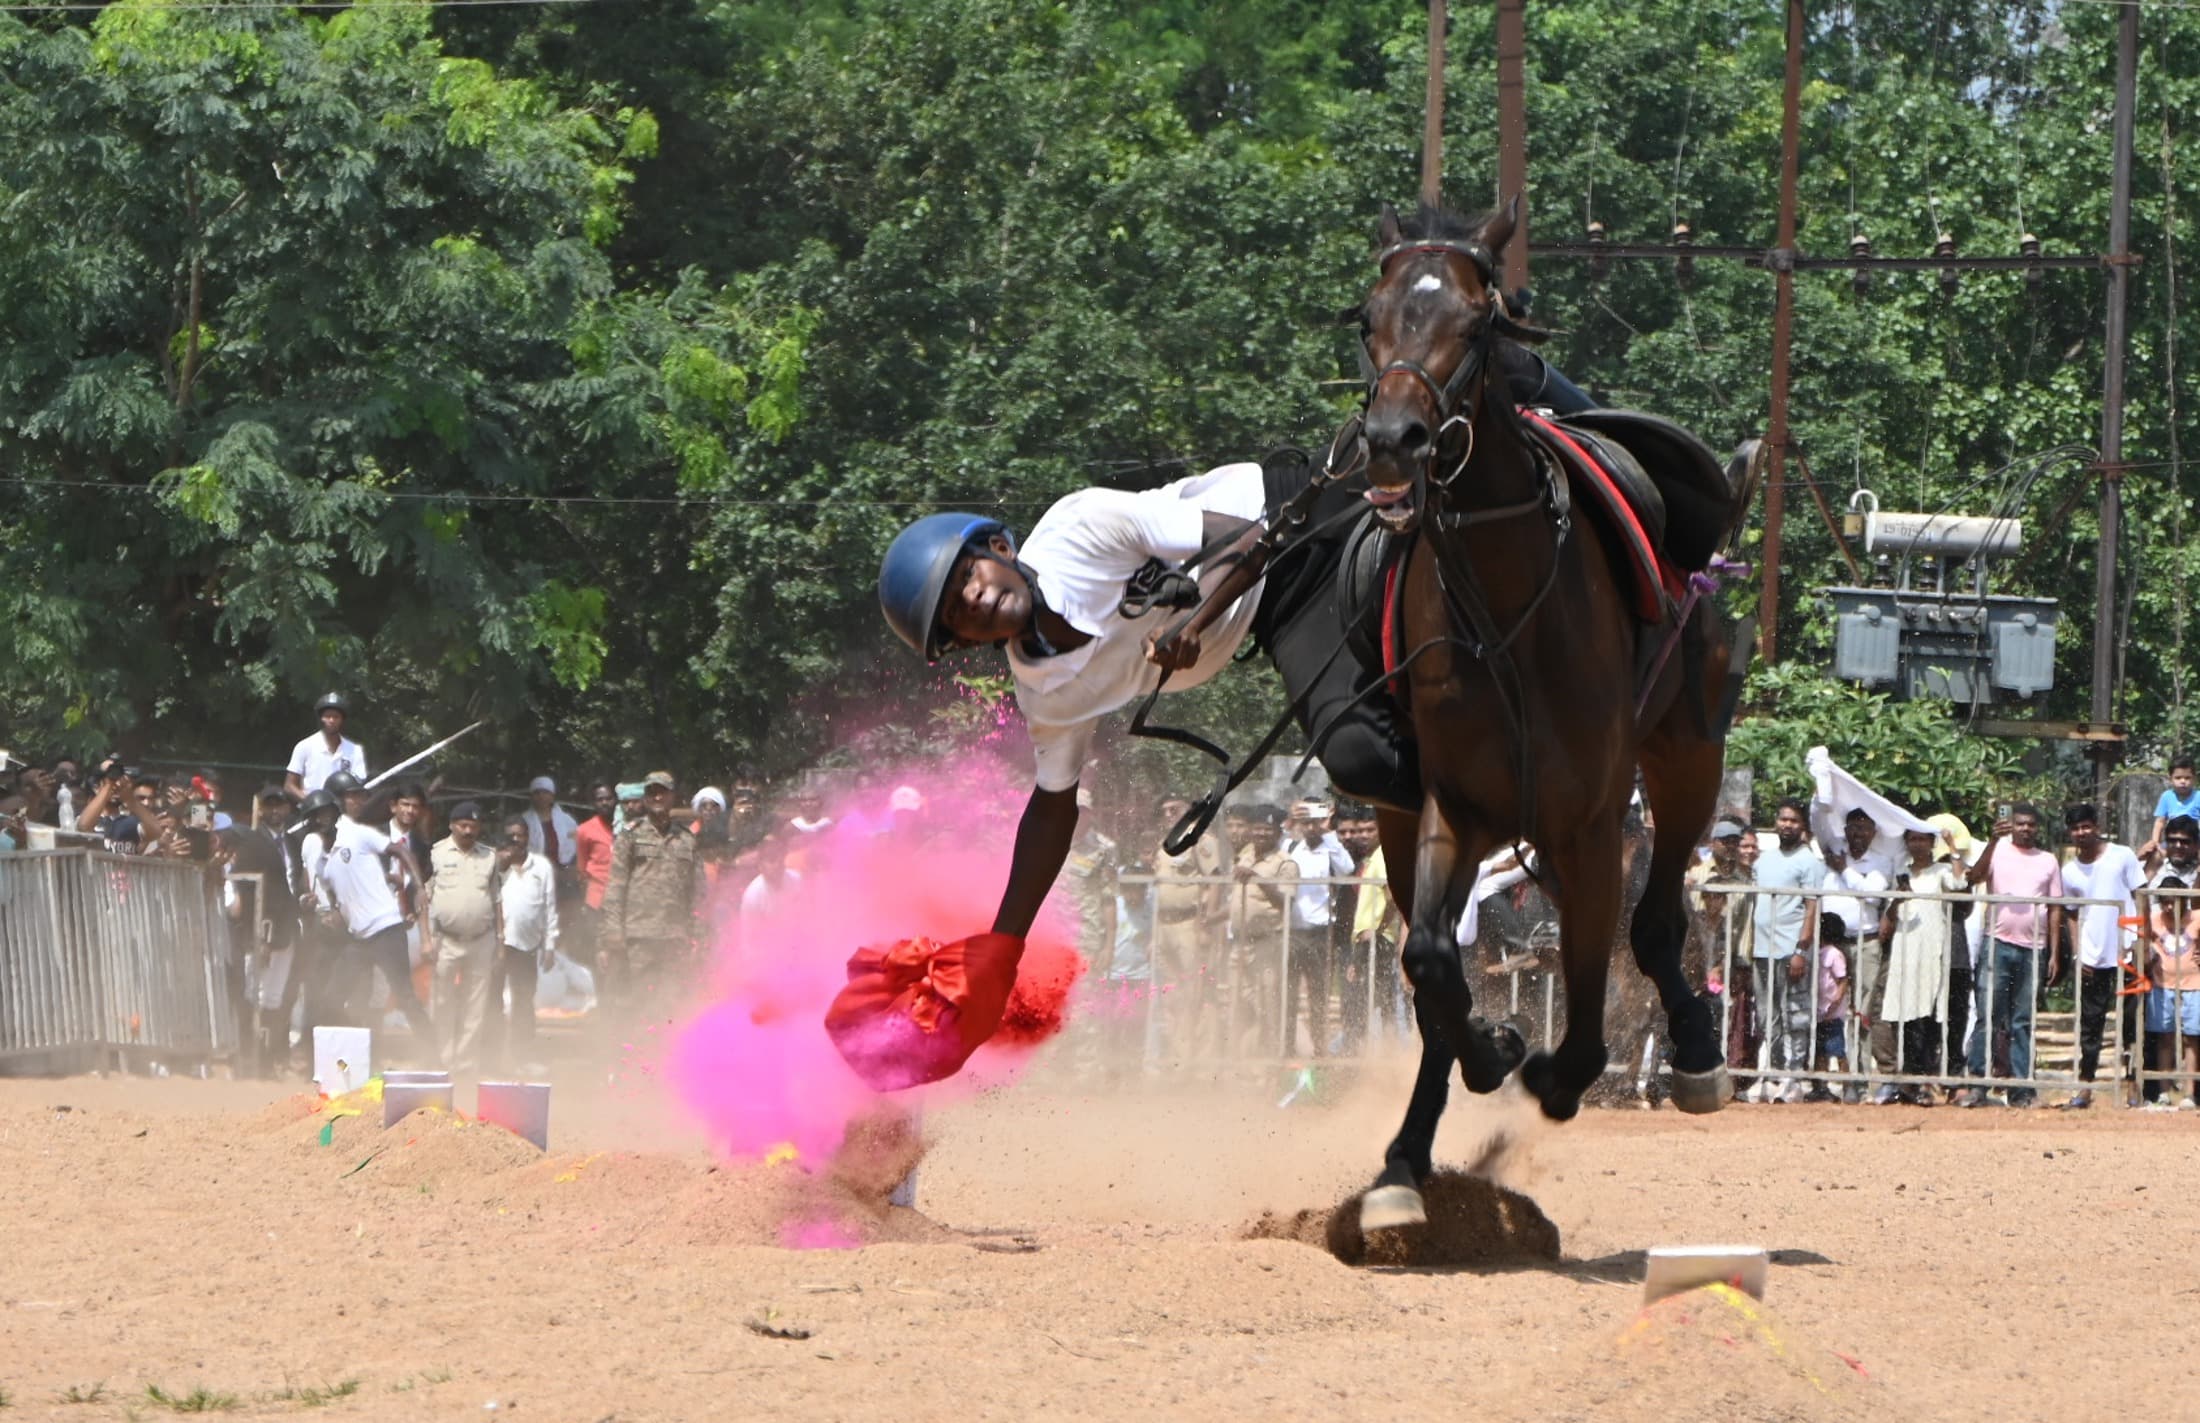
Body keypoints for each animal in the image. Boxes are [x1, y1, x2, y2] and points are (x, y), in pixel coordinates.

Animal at [1337, 203, 1751, 1231]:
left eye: (1478, 321)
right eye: (1369, 317)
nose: (1395, 436)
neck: (1507, 608)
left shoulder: (1591, 819)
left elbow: (1597, 1000)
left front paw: (1552, 1071)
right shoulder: (1453, 809)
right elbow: (1434, 960)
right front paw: (1488, 1051)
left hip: (1684, 758)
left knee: (1652, 924)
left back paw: (1692, 1048)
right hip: (1411, 824)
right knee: (1436, 969)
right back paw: (1409, 1159)